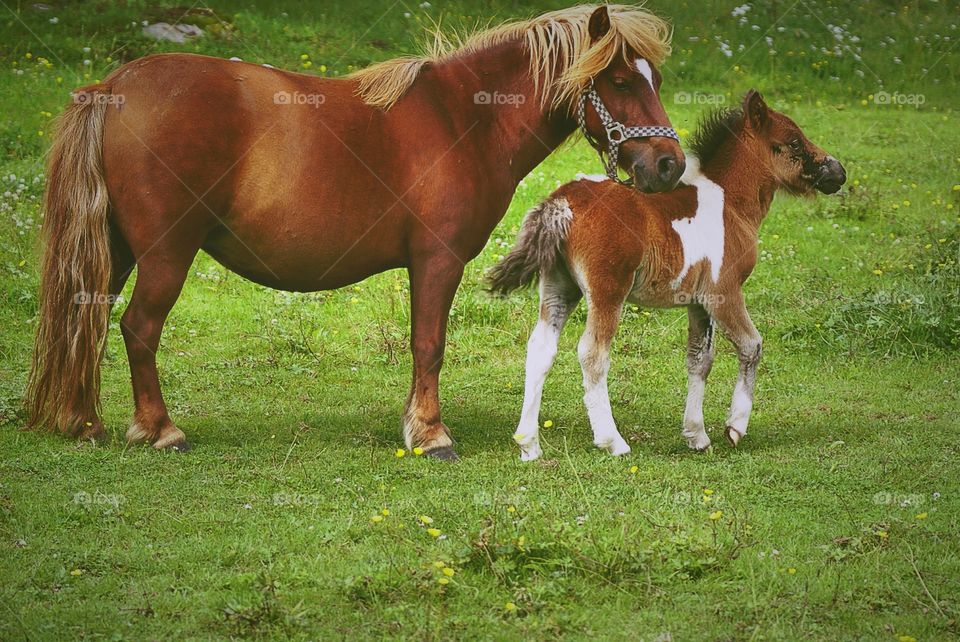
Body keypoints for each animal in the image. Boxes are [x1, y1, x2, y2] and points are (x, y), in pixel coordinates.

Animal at [22, 3, 684, 456]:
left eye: (653, 78)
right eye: (620, 81)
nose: (668, 164)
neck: (463, 119)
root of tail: (112, 88)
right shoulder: (437, 260)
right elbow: (429, 344)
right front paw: (431, 433)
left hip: (116, 250)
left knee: (89, 320)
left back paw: (85, 421)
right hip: (165, 253)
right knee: (138, 327)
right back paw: (159, 429)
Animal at [492, 91, 844, 460]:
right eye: (793, 141)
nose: (838, 171)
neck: (730, 203)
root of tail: (560, 203)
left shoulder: (697, 303)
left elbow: (700, 360)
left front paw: (696, 435)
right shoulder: (724, 292)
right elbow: (751, 345)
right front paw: (735, 428)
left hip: (559, 285)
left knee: (540, 348)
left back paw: (528, 444)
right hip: (608, 289)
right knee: (593, 354)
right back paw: (612, 441)